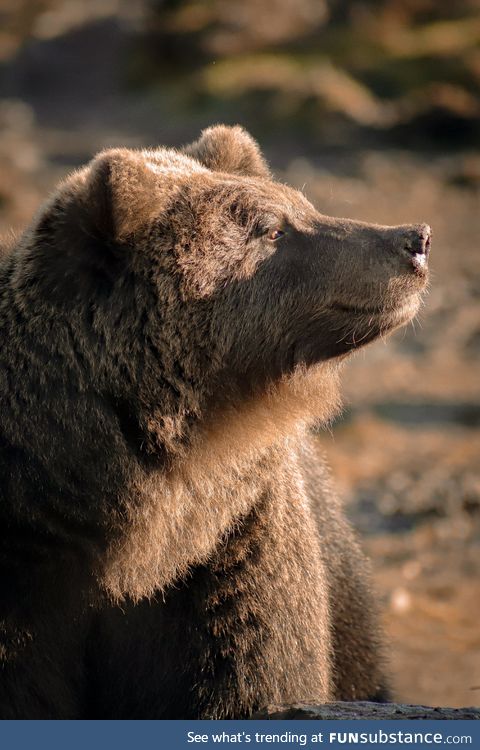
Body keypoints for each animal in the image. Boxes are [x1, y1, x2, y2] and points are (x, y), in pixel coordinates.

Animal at [0, 126, 432, 720]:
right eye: (273, 228)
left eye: (303, 205)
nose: (415, 238)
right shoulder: (26, 561)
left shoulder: (230, 544)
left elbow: (251, 675)